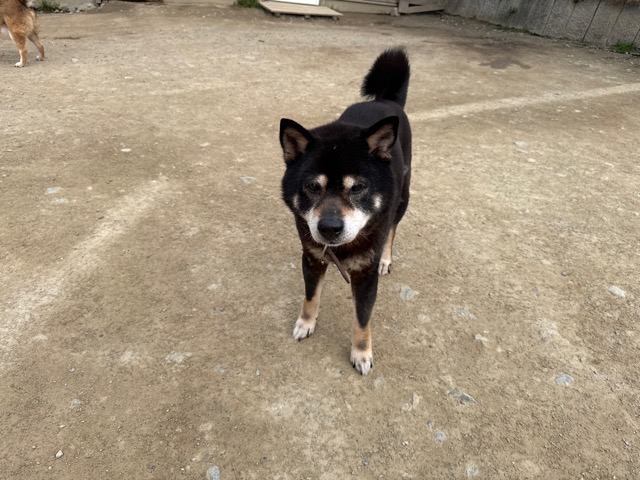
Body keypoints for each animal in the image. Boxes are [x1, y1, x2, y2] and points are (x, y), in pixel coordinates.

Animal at [279, 47, 412, 375]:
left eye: (358, 187)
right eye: (312, 186)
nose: (329, 227)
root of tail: (385, 100)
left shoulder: (365, 275)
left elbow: (362, 319)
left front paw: (361, 353)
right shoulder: (312, 258)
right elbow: (310, 296)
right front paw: (306, 323)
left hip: (402, 199)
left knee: (392, 229)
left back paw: (387, 258)